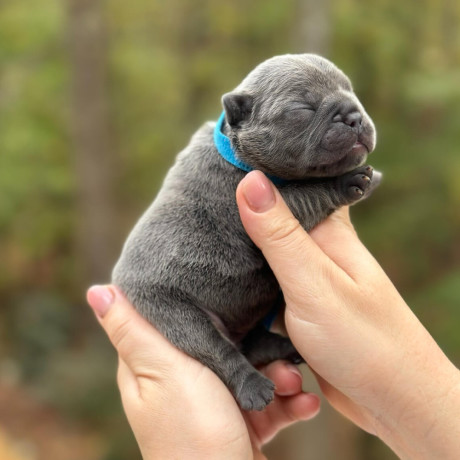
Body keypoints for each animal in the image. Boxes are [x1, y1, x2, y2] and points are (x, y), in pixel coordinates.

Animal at [113, 53, 380, 410]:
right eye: (303, 109)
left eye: (350, 90)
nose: (353, 115)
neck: (237, 153)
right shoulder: (250, 205)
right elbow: (310, 192)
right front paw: (346, 182)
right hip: (175, 313)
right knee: (218, 350)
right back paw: (253, 386)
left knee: (253, 344)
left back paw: (286, 347)